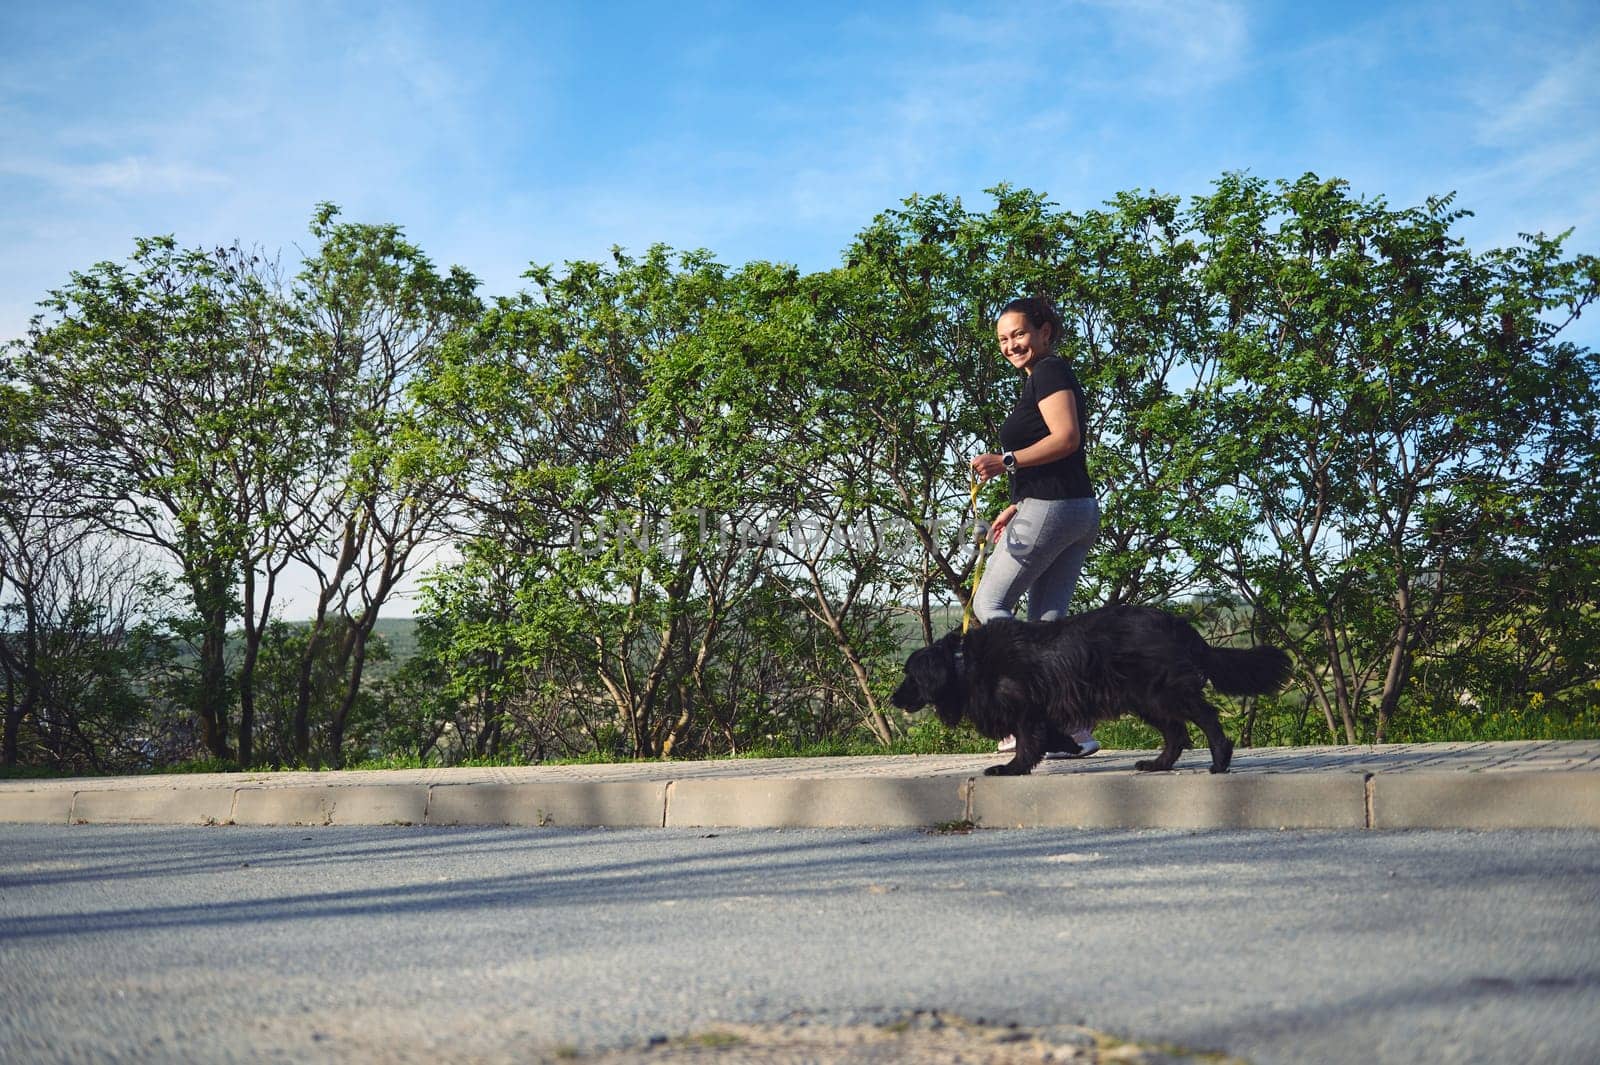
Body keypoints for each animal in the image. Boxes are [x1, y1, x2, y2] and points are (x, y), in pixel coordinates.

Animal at [896, 604, 1292, 770]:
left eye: (910, 676)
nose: (892, 697)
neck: (963, 661)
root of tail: (1179, 624)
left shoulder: (1026, 708)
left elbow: (1027, 743)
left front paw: (1011, 768)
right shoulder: (1040, 710)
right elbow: (1048, 735)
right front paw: (1070, 744)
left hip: (1162, 691)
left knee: (1205, 718)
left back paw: (1220, 760)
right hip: (1145, 699)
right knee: (1177, 734)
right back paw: (1158, 765)